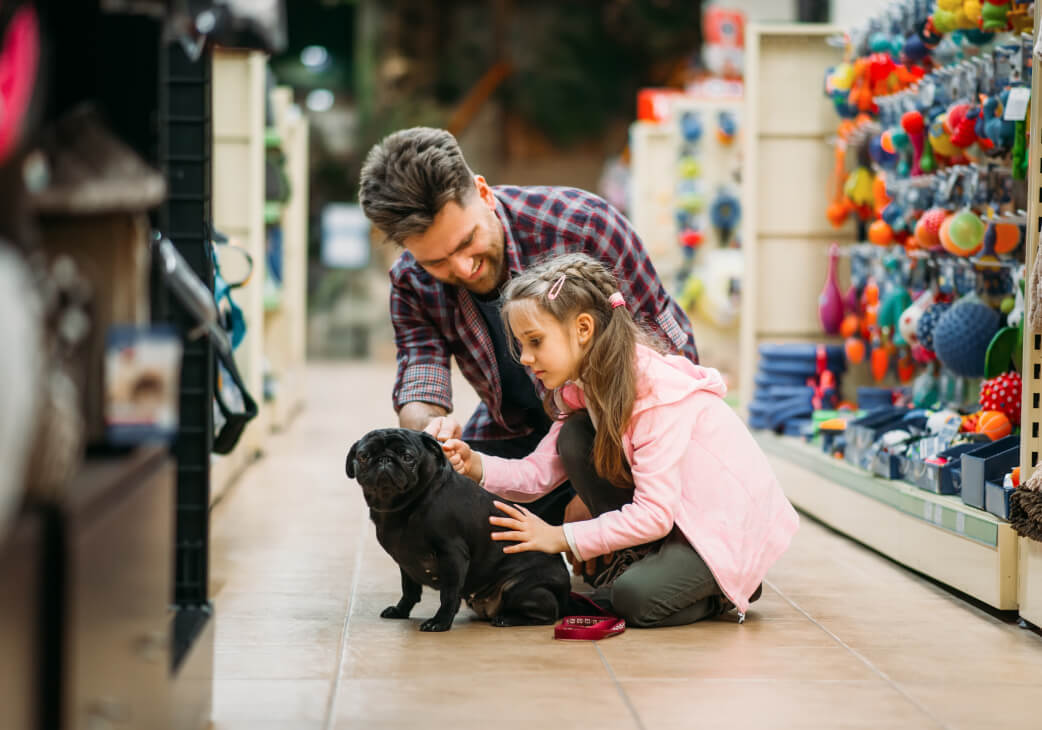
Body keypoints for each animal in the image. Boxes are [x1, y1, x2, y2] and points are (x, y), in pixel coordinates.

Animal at [345, 429, 566, 628]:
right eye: (363, 456)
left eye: (407, 457)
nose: (384, 460)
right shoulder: (405, 563)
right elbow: (409, 591)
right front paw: (401, 611)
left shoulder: (452, 555)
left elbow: (449, 594)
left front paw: (440, 622)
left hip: (519, 588)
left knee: (549, 614)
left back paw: (508, 619)